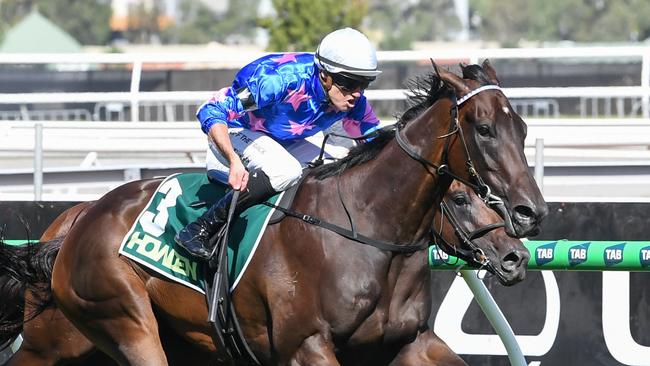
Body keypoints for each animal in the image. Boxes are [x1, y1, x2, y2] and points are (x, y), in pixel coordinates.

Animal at [5, 61, 544, 364]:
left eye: (521, 127)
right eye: (483, 128)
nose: (527, 219)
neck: (366, 230)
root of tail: (80, 220)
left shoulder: (409, 342)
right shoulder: (306, 345)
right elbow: (220, 107)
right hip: (118, 320)